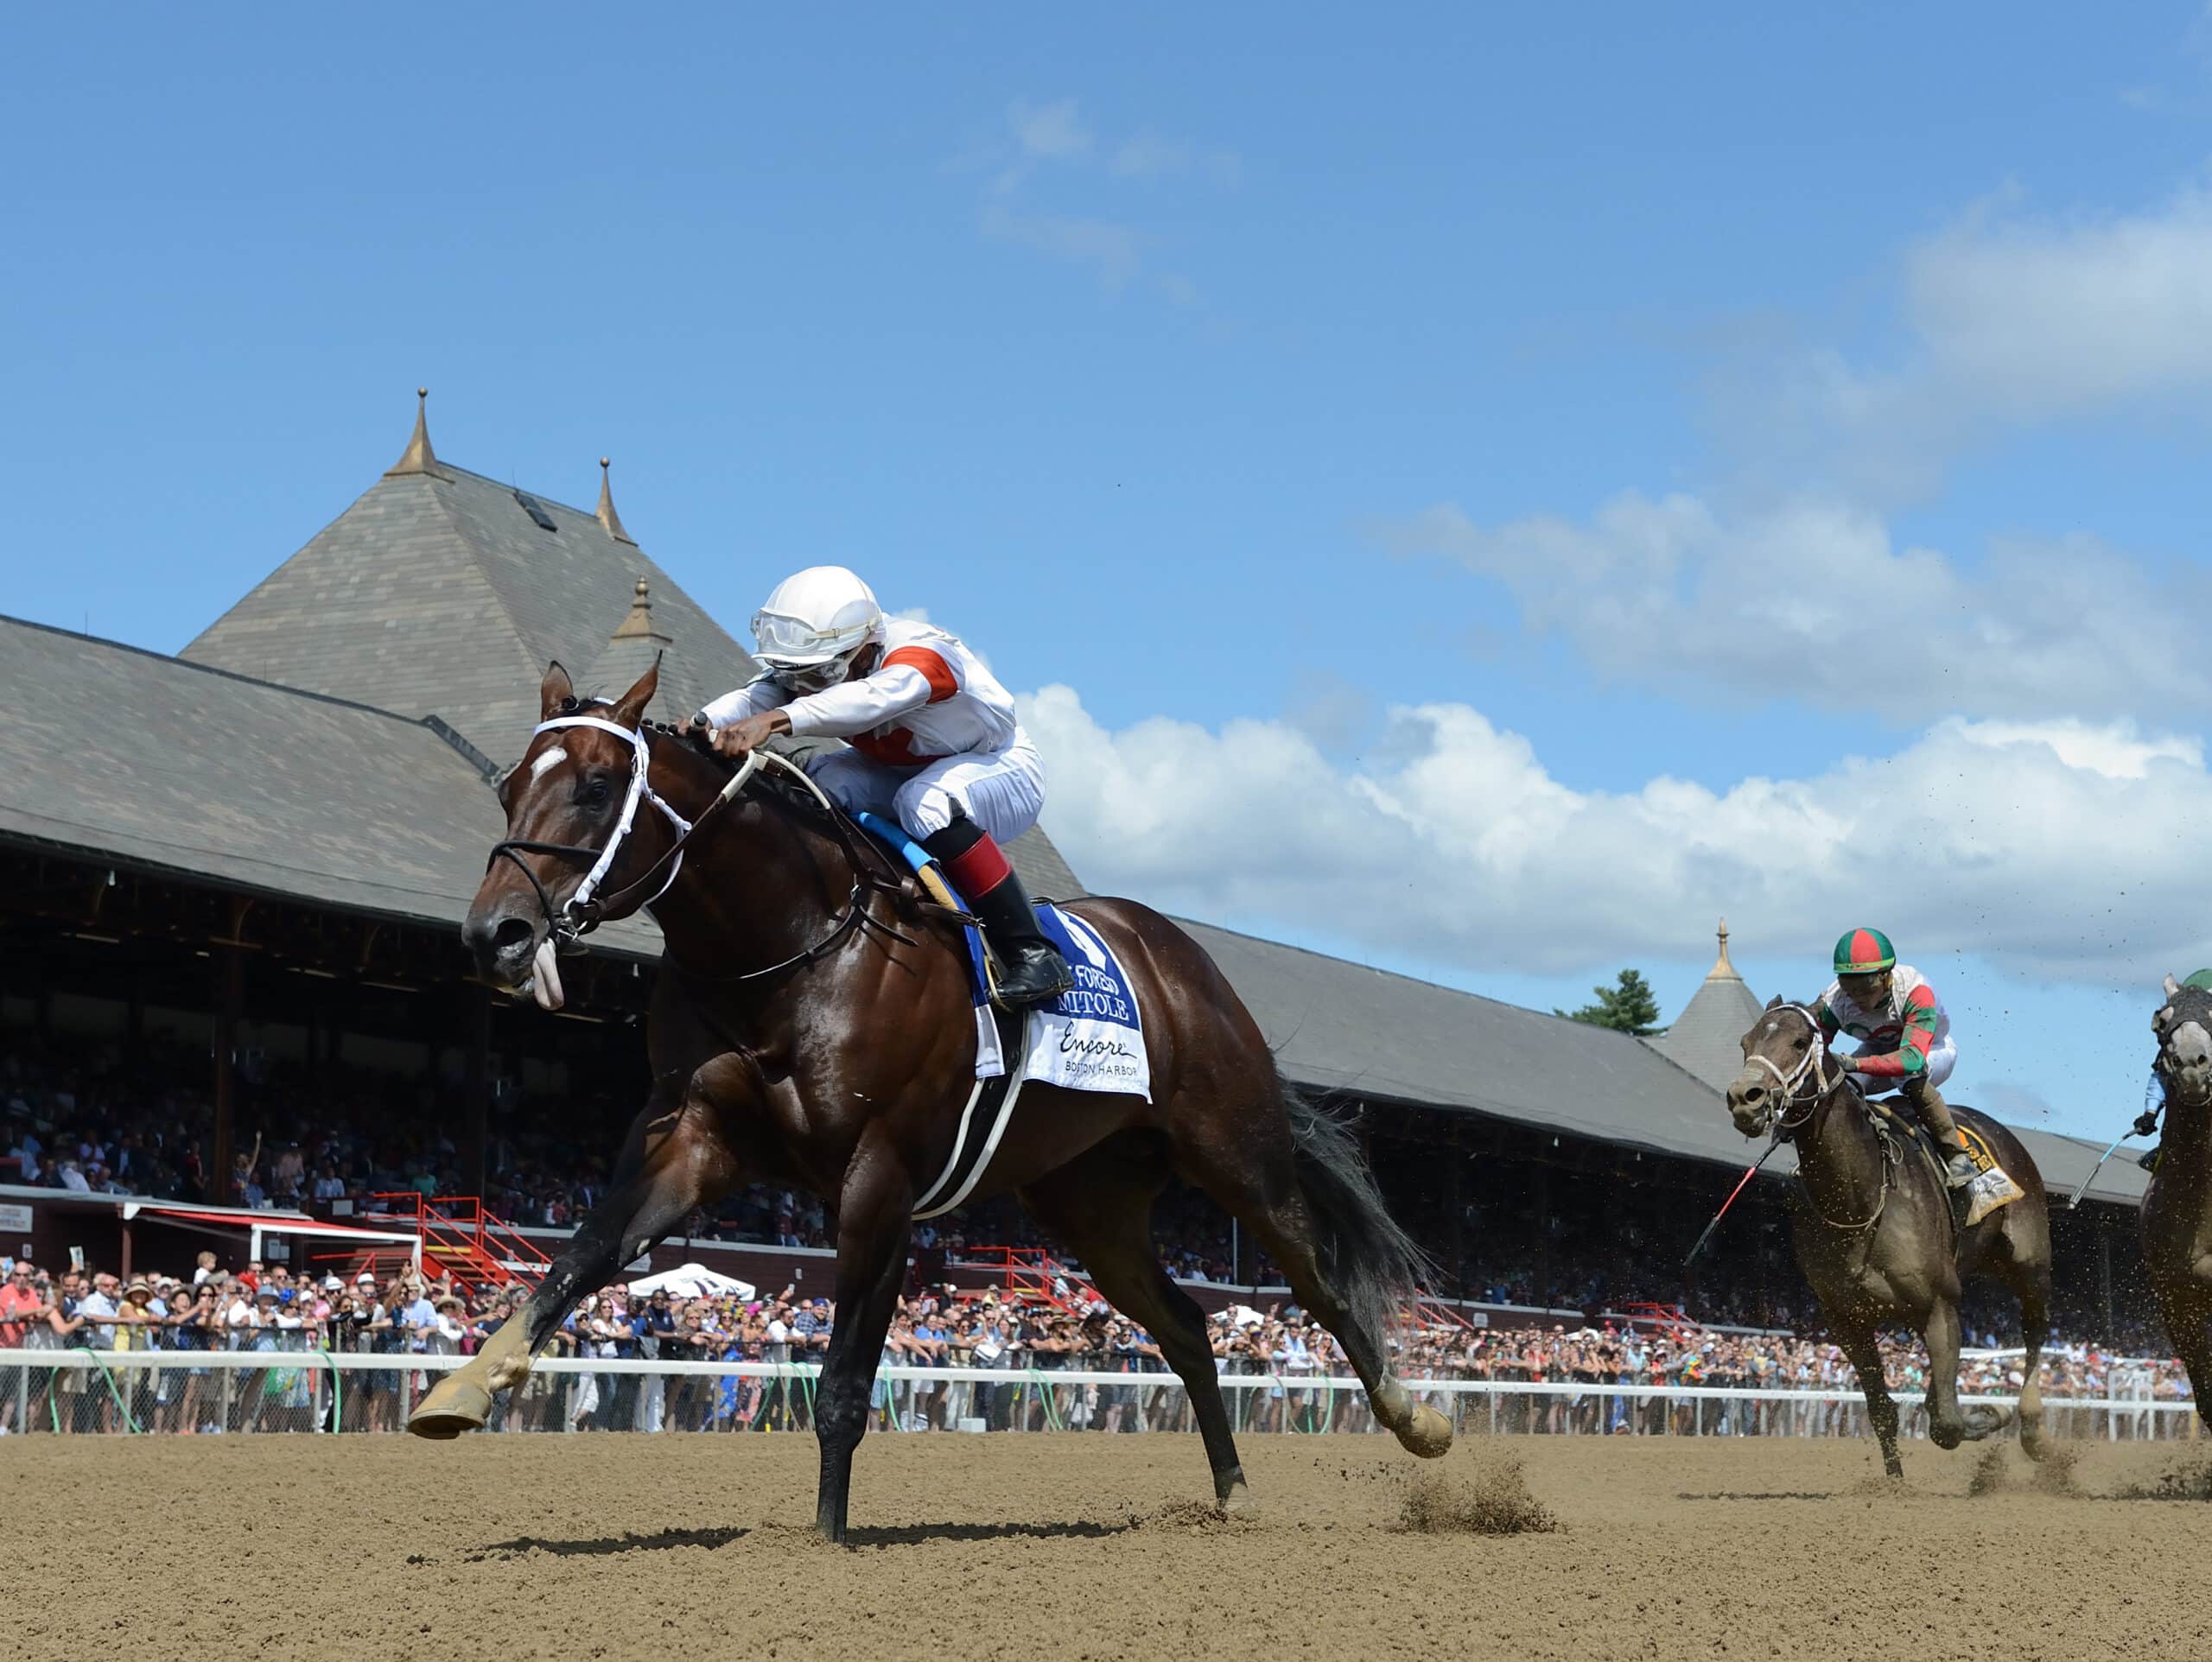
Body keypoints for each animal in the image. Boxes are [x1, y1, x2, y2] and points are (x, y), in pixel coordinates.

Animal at [409, 654, 1451, 1538]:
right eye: (509, 784)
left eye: (593, 787)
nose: (496, 936)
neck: (789, 947)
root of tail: (1179, 955)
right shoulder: (691, 1134)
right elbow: (583, 1253)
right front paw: (459, 1391)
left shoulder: (880, 1174)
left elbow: (843, 1380)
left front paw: (826, 1539)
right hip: (1090, 1203)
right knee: (1188, 1326)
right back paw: (1232, 1494)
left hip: (1234, 1148)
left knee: (1321, 1283)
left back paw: (1417, 1422)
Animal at [1716, 994, 2044, 1476]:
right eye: (1745, 1042)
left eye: (1799, 1042)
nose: (1745, 1098)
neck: (1859, 1198)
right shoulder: (1847, 1319)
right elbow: (1886, 1411)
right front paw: (1894, 1483)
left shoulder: (1938, 1304)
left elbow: (1947, 1423)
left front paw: (1988, 1414)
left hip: (2029, 1263)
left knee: (2035, 1330)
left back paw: (2032, 1427)